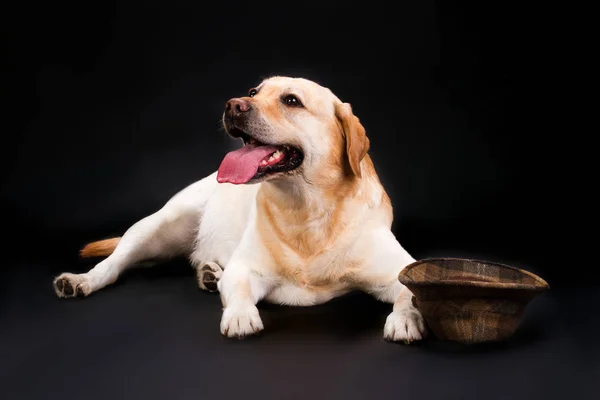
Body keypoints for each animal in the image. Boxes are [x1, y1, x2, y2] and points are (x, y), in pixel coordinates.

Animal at [52, 76, 426, 342]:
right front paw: (240, 315)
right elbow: (241, 289)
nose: (233, 105)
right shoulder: (246, 268)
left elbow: (409, 293)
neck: (308, 210)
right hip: (155, 226)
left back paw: (208, 273)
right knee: (114, 264)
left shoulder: (397, 268)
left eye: (291, 100)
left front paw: (405, 319)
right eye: (254, 91)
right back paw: (81, 280)